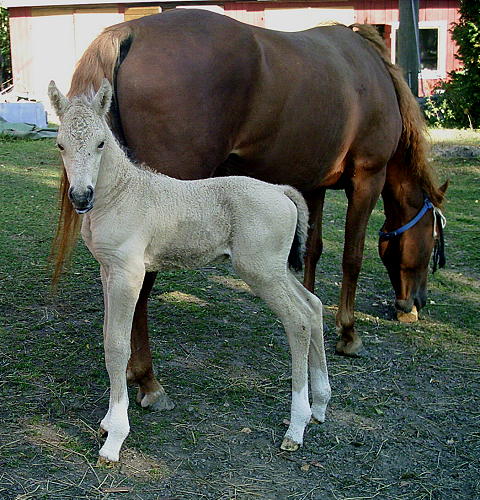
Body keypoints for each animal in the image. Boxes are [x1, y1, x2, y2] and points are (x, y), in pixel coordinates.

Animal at [50, 79, 332, 464]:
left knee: (298, 321)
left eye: (101, 143)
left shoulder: (128, 273)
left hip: (260, 271)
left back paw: (297, 427)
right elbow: (109, 338)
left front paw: (114, 440)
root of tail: (281, 191)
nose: (81, 197)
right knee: (313, 307)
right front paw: (108, 422)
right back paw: (320, 406)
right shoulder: (107, 271)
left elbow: (117, 346)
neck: (122, 194)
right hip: (275, 268)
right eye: (61, 144)